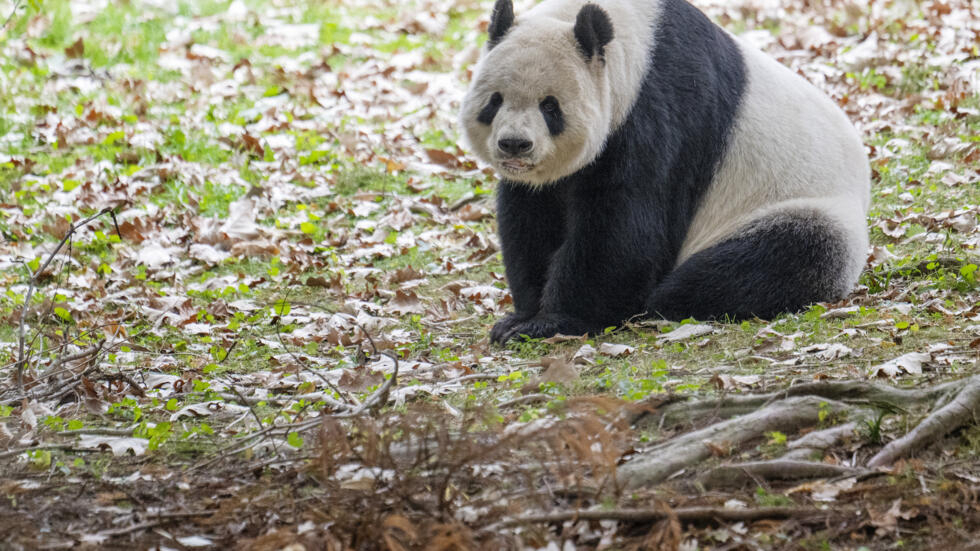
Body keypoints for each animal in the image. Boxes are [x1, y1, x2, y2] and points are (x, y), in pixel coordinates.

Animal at [462, 0, 872, 344]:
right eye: (495, 101)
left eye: (550, 106)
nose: (515, 144)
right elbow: (532, 219)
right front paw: (521, 317)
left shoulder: (659, 114)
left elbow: (623, 228)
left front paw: (554, 321)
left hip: (803, 207)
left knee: (772, 259)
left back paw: (667, 299)